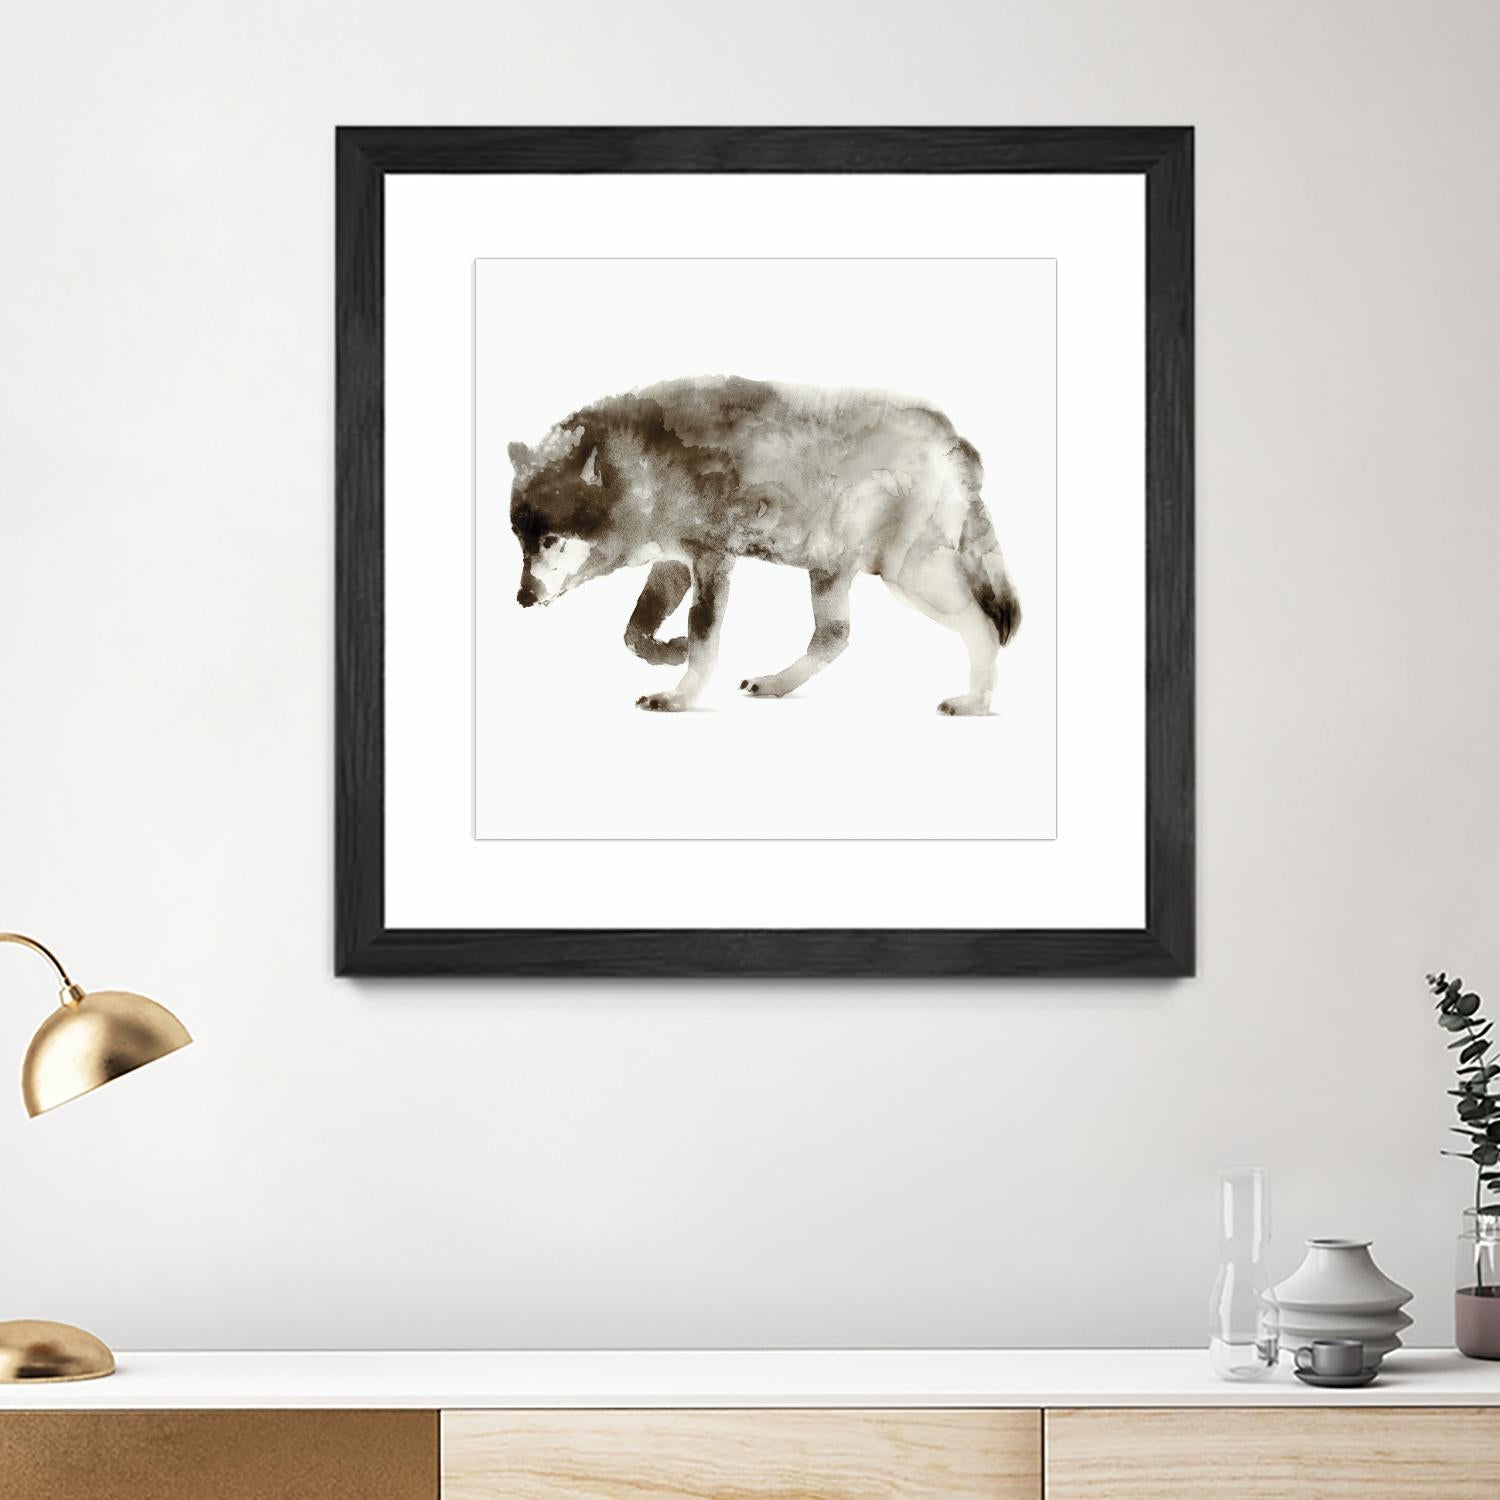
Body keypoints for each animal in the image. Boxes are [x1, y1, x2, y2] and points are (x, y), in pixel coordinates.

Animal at [508, 377, 1020, 714]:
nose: (522, 598)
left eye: (551, 540)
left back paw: (975, 702)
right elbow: (635, 632)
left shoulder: (712, 559)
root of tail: (951, 438)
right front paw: (670, 651)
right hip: (830, 569)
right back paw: (775, 685)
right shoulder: (675, 561)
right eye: (520, 541)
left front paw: (678, 695)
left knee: (984, 626)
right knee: (835, 636)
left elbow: (703, 636)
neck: (640, 466)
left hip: (907, 576)